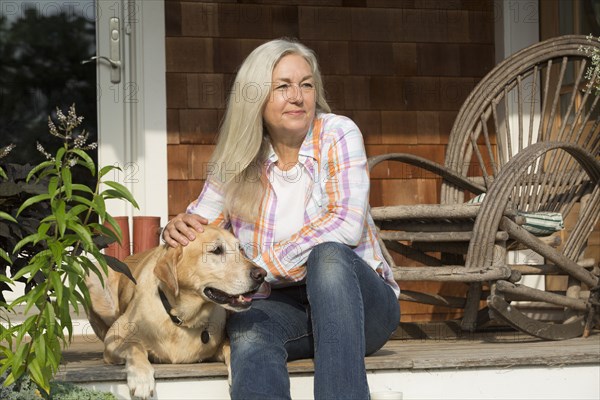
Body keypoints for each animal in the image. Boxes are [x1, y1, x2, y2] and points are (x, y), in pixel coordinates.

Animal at [84, 227, 264, 398]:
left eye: (240, 249)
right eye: (216, 250)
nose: (261, 274)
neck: (180, 317)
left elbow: (229, 347)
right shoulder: (114, 337)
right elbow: (134, 345)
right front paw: (141, 378)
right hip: (93, 272)